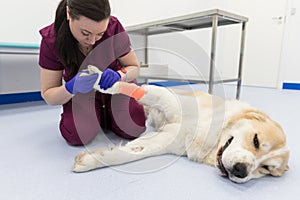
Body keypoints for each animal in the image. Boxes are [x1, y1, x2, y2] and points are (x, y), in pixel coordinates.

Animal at [71, 66, 290, 184]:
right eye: (256, 140)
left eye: (266, 169)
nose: (241, 170)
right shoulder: (167, 97)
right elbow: (132, 89)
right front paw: (100, 79)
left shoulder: (164, 140)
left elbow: (128, 153)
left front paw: (90, 161)